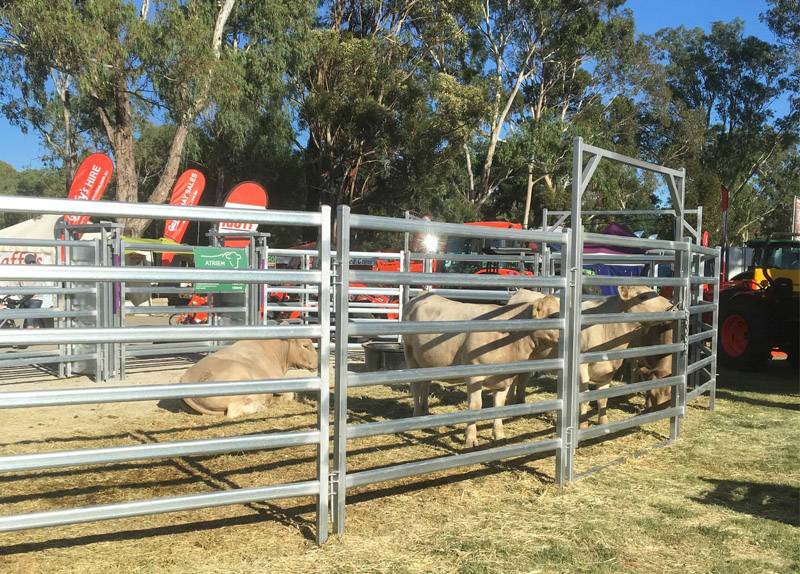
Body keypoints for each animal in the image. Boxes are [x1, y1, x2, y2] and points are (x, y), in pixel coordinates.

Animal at [532, 286, 676, 428]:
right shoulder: (581, 369)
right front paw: (583, 425)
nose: (672, 307)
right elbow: (583, 398)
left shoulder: (608, 371)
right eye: (643, 296)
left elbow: (602, 398)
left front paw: (603, 423)